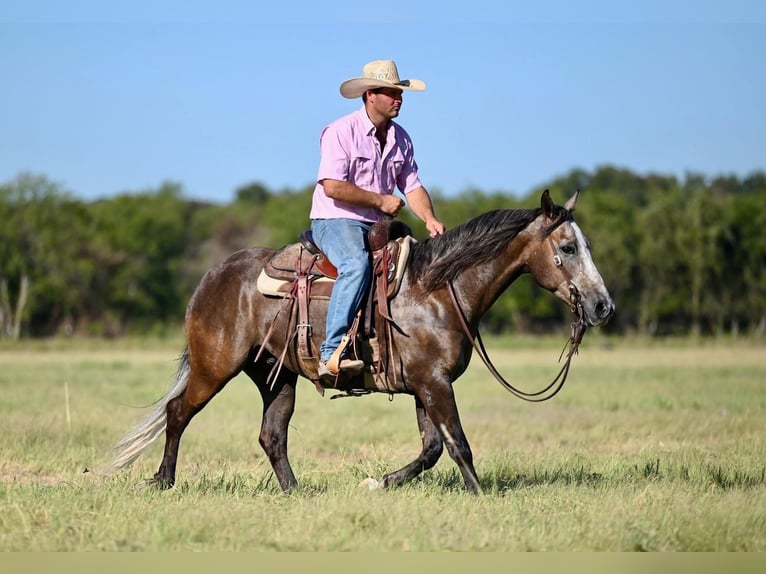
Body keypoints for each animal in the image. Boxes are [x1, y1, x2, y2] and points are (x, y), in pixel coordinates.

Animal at [105, 190, 616, 496]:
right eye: (568, 247)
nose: (602, 306)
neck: (436, 290)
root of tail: (211, 277)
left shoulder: (425, 386)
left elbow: (432, 448)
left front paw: (382, 481)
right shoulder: (435, 385)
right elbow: (458, 444)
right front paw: (478, 495)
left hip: (275, 375)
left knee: (272, 434)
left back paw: (295, 493)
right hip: (215, 367)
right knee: (178, 413)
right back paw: (163, 480)